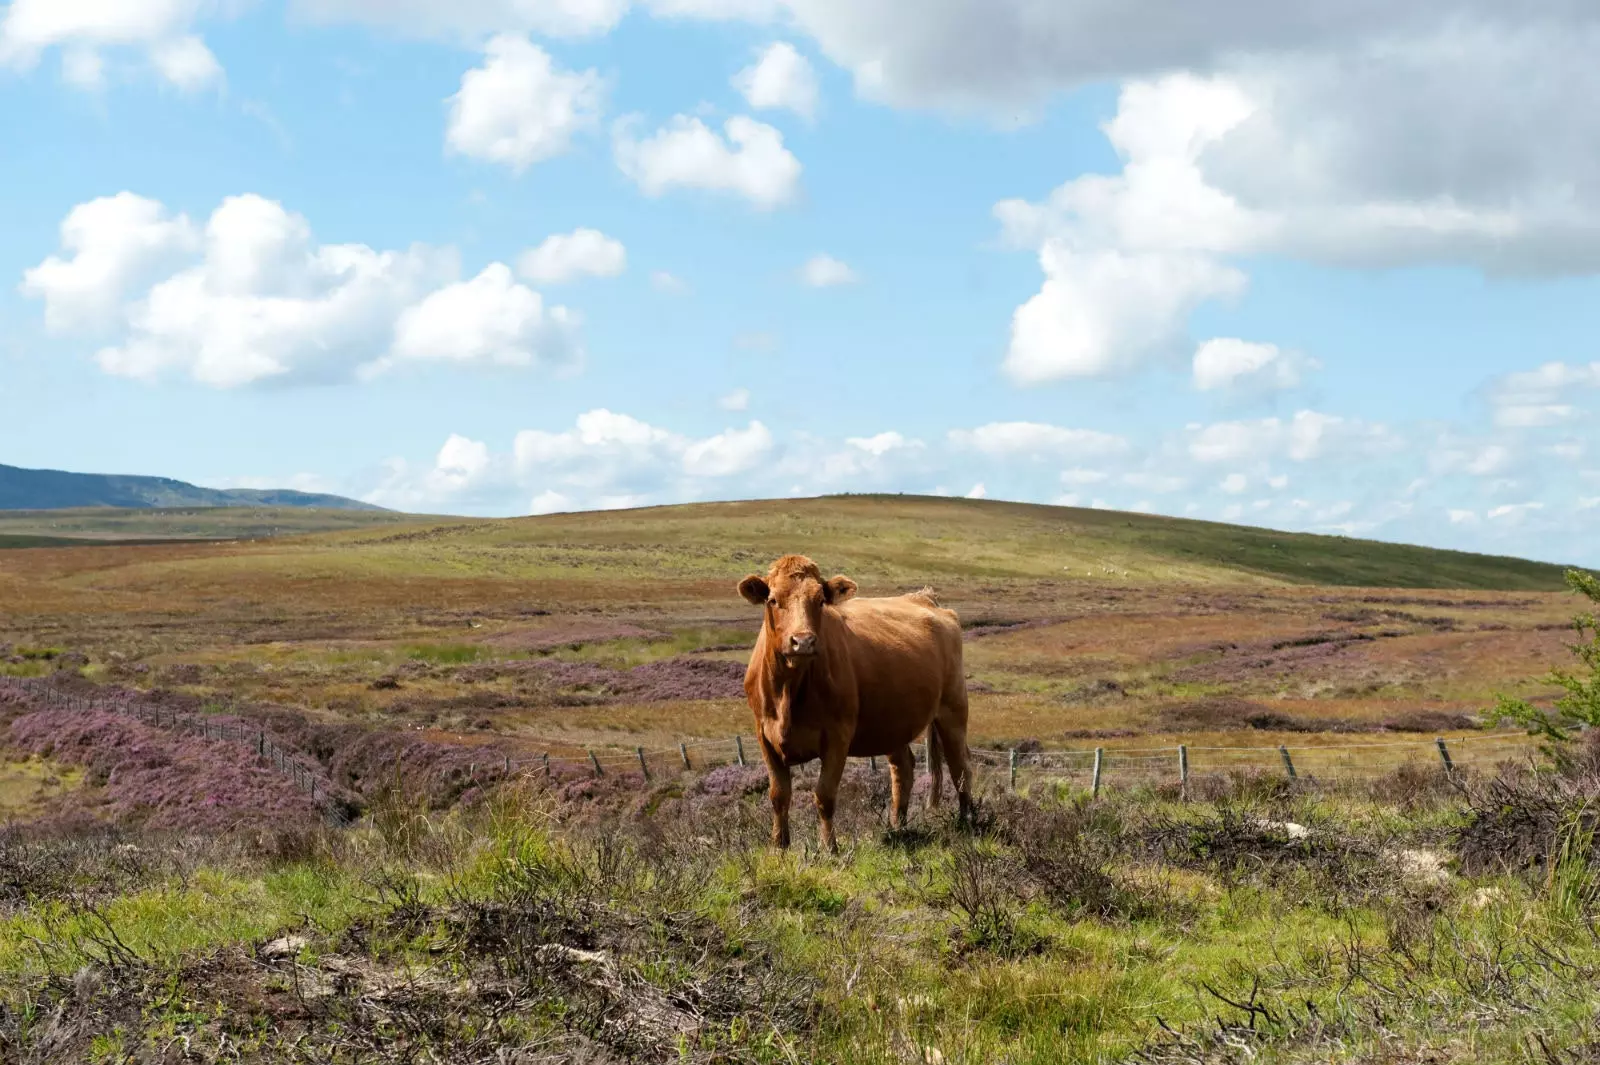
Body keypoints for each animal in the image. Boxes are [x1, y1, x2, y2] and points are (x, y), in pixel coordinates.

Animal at [739, 550, 972, 850]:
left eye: (820, 600)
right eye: (773, 600)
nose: (803, 641)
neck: (789, 691)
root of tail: (924, 597)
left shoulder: (837, 736)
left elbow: (824, 795)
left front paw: (830, 848)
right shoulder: (765, 735)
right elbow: (779, 795)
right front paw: (779, 846)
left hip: (953, 709)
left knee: (960, 767)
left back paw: (967, 822)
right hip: (892, 723)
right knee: (903, 770)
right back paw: (898, 828)